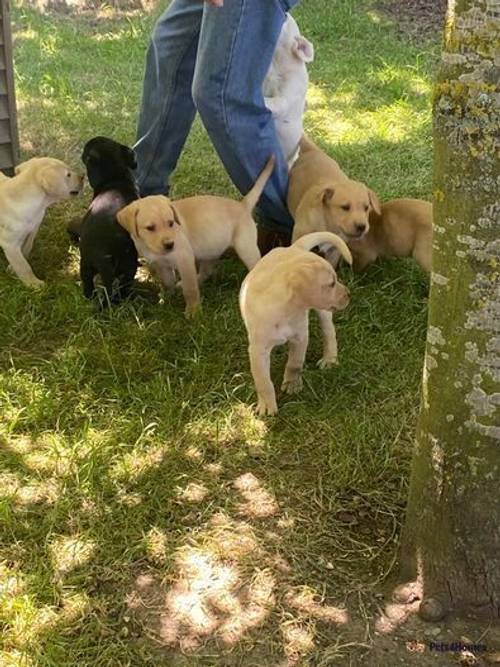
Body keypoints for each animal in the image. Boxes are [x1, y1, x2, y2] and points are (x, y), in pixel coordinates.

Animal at [0, 160, 83, 290]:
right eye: (68, 175)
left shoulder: (33, 229)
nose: (83, 177)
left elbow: (26, 249)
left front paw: (12, 268)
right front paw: (33, 283)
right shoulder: (9, 243)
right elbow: (22, 265)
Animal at [68, 138, 139, 306]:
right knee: (122, 288)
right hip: (129, 267)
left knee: (89, 290)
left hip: (85, 267)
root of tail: (102, 256)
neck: (116, 178)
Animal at [116, 157, 274, 316]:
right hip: (210, 250)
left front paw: (193, 311)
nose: (170, 244)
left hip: (245, 248)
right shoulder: (160, 264)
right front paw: (167, 298)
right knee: (206, 271)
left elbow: (190, 289)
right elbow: (167, 282)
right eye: (150, 228)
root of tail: (242, 205)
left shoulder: (185, 260)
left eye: (171, 223)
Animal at [239, 232, 352, 414]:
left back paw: (329, 358)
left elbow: (295, 364)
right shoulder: (257, 350)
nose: (349, 294)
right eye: (332, 283)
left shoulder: (300, 338)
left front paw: (292, 385)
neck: (286, 310)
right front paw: (267, 405)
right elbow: (263, 381)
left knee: (329, 332)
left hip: (323, 312)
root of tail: (294, 248)